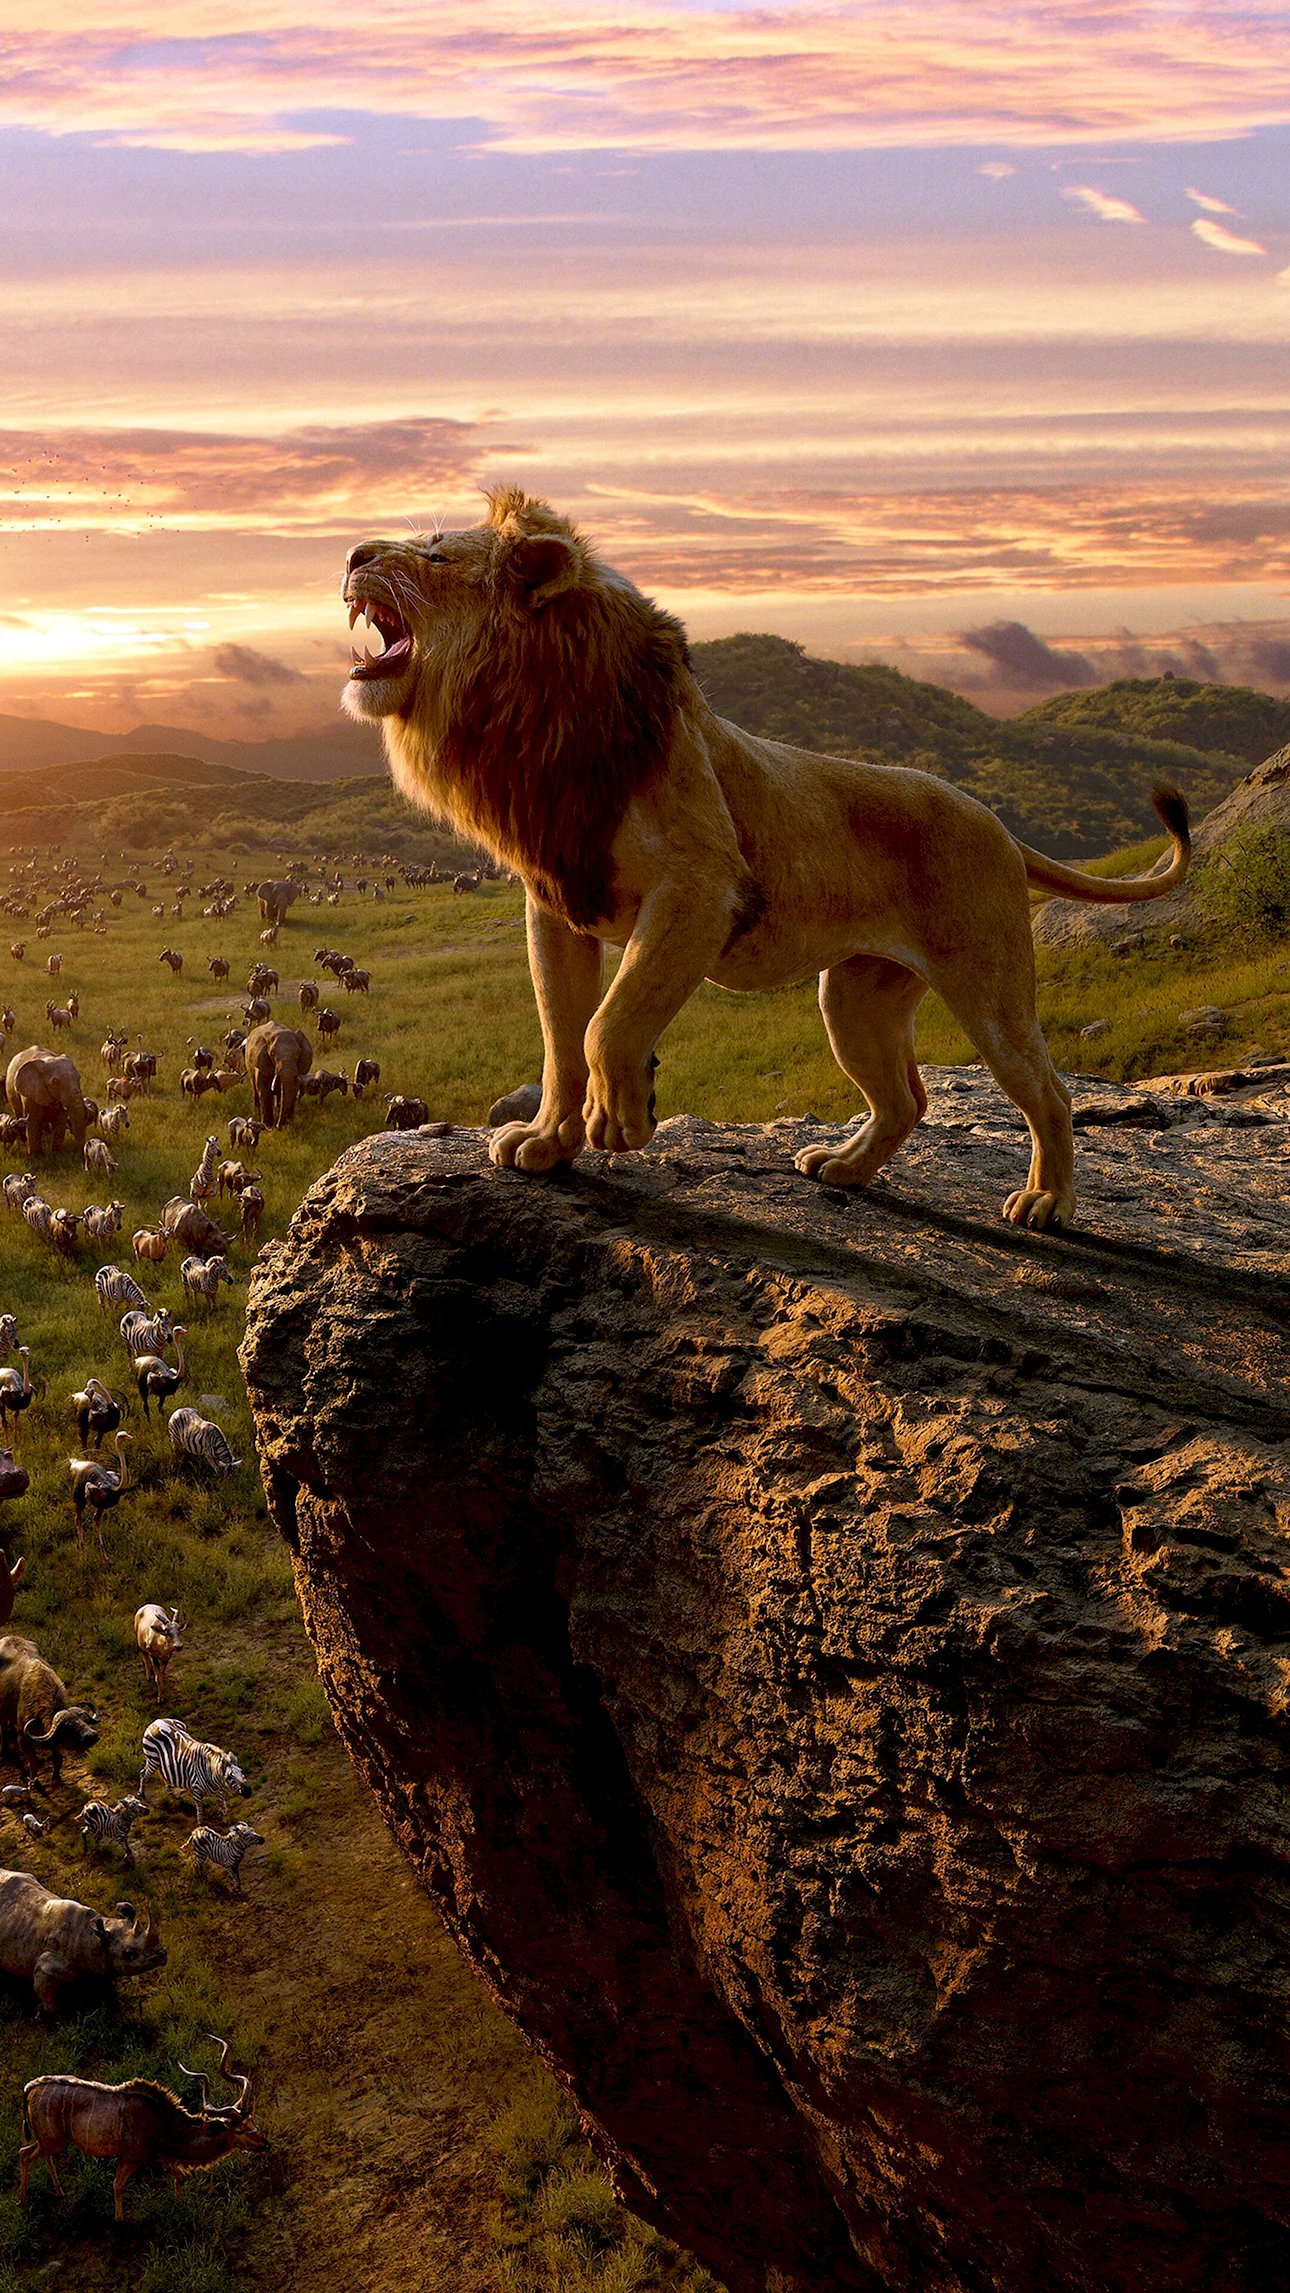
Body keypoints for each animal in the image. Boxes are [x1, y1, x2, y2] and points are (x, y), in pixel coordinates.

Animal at [342, 490, 1189, 1230]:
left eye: (433, 551)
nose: (350, 554)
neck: (530, 723)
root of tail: (1001, 825)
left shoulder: (702, 887)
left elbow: (608, 1024)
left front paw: (622, 1119)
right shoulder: (557, 901)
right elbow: (559, 1037)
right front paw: (548, 1143)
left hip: (988, 986)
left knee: (1047, 1090)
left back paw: (1047, 1202)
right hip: (855, 998)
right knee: (906, 1099)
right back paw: (842, 1168)